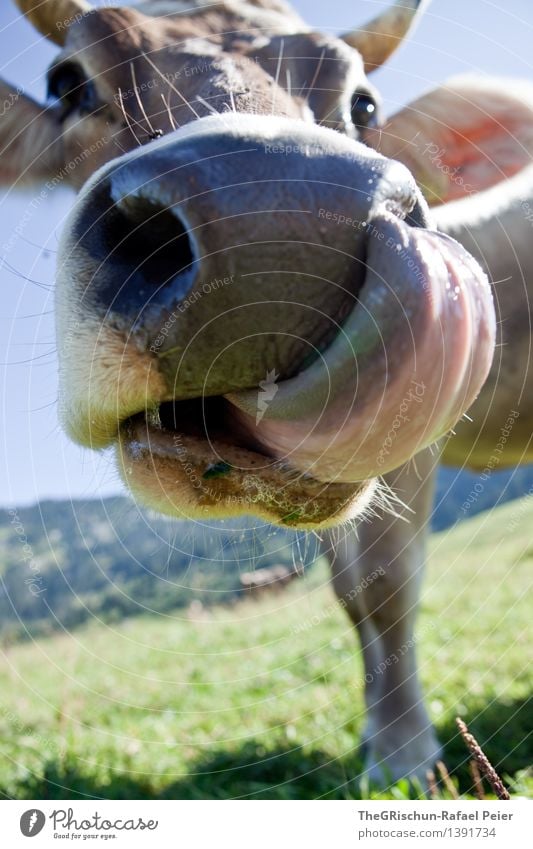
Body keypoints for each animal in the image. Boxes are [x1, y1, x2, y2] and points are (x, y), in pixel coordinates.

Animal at [1, 0, 528, 784]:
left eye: (364, 104)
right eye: (67, 83)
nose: (275, 220)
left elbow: (384, 583)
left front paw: (402, 756)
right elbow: (351, 594)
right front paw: (380, 735)